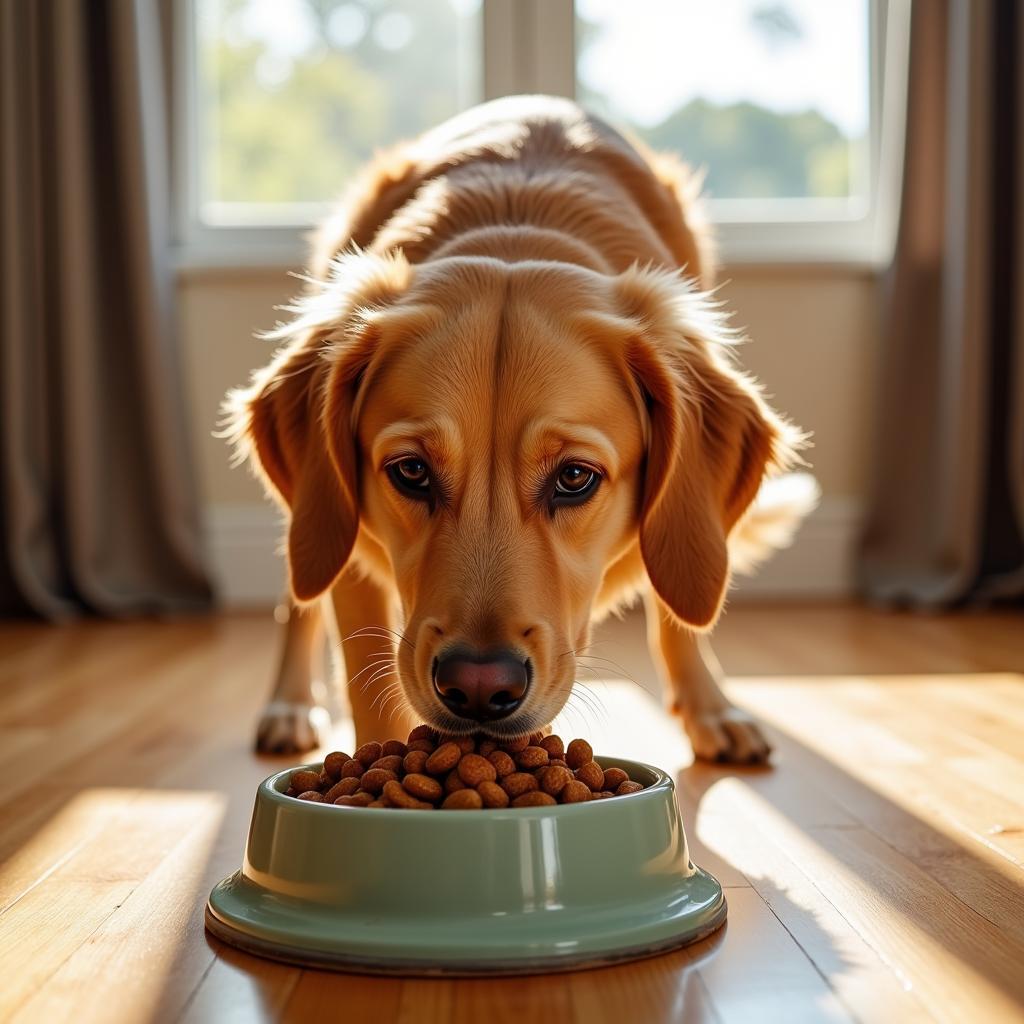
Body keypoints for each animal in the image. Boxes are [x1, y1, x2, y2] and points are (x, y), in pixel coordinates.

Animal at [224, 96, 815, 765]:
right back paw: (288, 704)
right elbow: (366, 680)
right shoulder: (351, 551)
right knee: (300, 591)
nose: (479, 688)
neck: (516, 230)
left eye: (575, 477)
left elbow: (676, 608)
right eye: (411, 470)